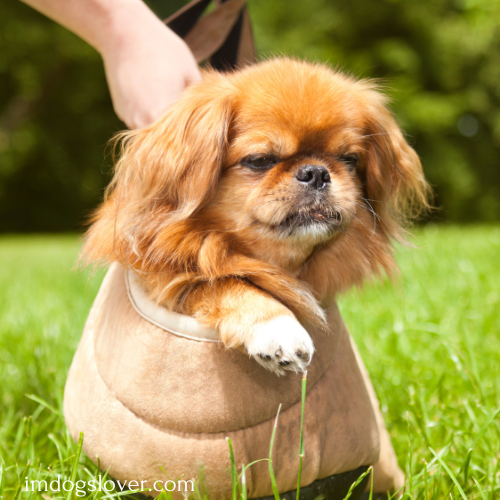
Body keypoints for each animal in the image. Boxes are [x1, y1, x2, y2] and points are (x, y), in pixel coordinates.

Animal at [83, 56, 430, 374]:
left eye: (349, 159)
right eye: (261, 160)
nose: (316, 172)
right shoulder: (163, 275)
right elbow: (222, 282)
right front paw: (278, 327)